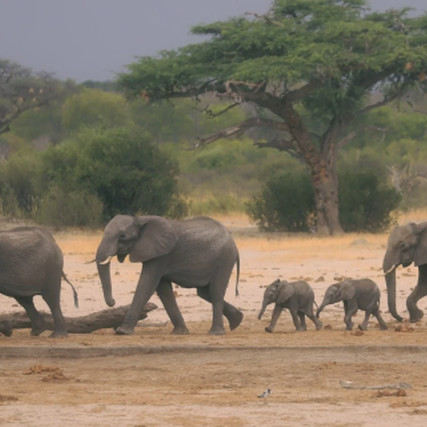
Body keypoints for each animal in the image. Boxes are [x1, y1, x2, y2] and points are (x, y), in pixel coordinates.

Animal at [97, 216, 244, 336]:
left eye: (122, 236)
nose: (113, 301)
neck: (140, 219)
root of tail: (233, 243)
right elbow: (163, 290)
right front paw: (180, 332)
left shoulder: (161, 256)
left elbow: (147, 284)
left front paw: (122, 332)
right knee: (204, 293)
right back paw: (237, 321)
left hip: (224, 260)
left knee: (215, 292)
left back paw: (216, 333)